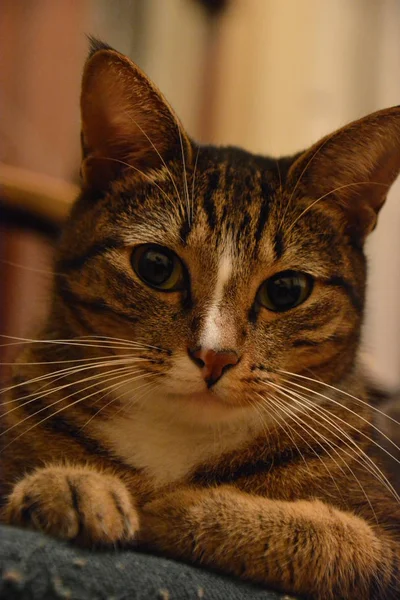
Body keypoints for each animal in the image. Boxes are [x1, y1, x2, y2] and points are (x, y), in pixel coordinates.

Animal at [0, 38, 400, 600]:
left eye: (285, 291)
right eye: (156, 266)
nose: (216, 356)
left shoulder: (385, 540)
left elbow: (318, 535)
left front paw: (151, 504)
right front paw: (70, 483)